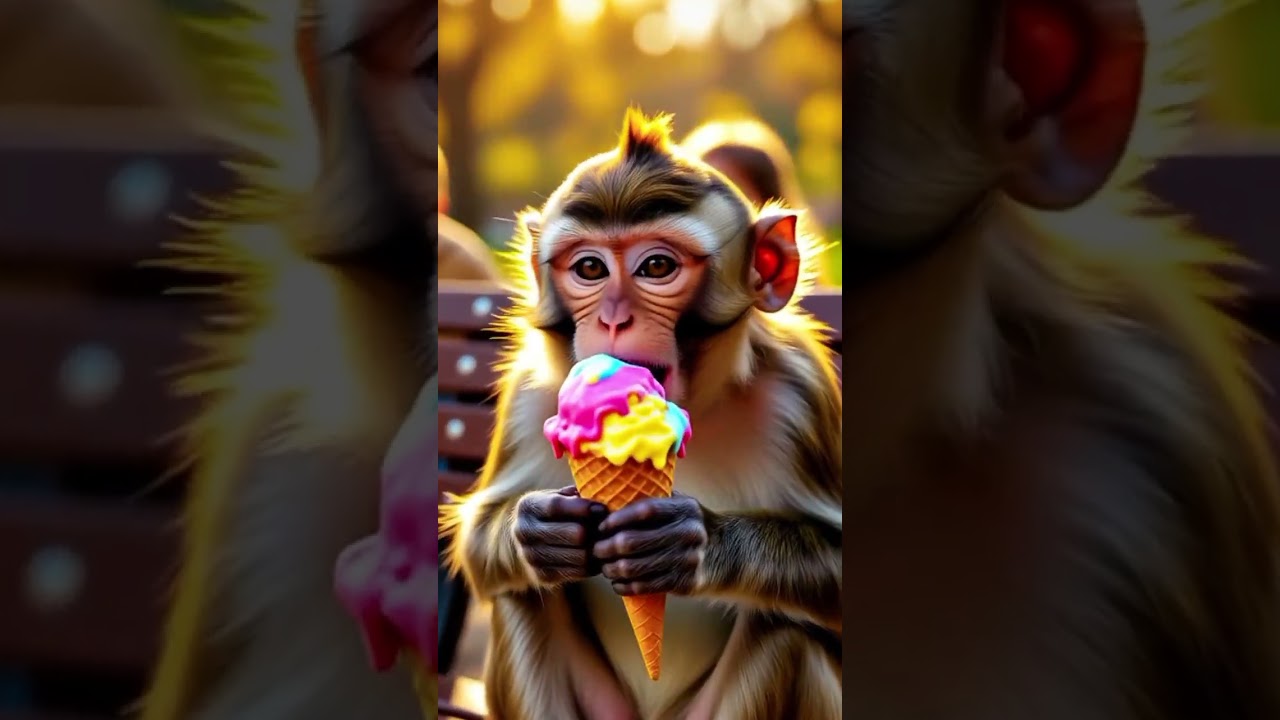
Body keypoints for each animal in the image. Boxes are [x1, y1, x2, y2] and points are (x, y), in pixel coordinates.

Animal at [439, 108, 843, 720]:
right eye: (589, 268)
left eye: (656, 266)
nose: (612, 317)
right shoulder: (530, 394)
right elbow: (480, 541)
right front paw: (538, 529)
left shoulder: (802, 391)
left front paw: (694, 542)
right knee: (521, 600)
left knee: (786, 626)